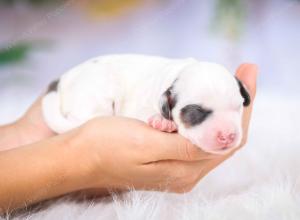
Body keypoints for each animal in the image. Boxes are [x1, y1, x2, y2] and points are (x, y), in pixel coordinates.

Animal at [41, 54, 248, 155]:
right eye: (196, 112)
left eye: (238, 107)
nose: (228, 135)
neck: (177, 74)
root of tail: (60, 82)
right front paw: (161, 121)